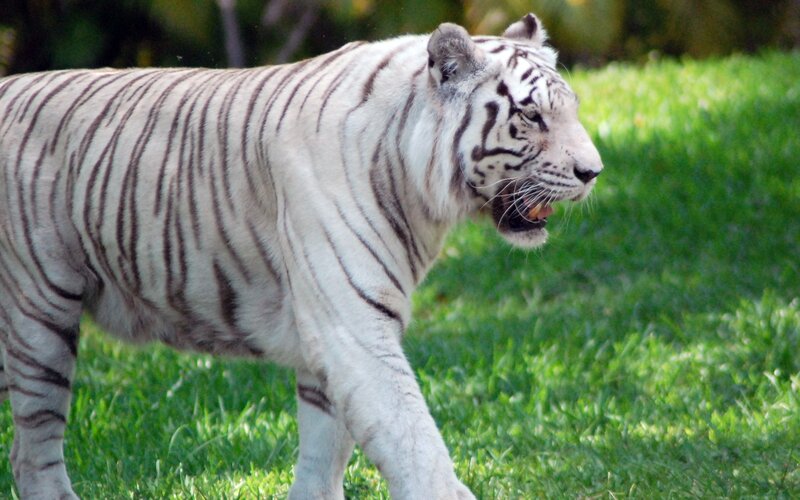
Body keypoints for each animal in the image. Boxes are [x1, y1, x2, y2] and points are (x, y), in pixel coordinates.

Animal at [0, 12, 602, 499]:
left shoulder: (331, 339)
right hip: (40, 315)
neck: (416, 186)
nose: (593, 172)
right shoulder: (352, 328)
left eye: (570, 110)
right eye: (532, 117)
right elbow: (413, 441)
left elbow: (324, 452)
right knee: (32, 451)